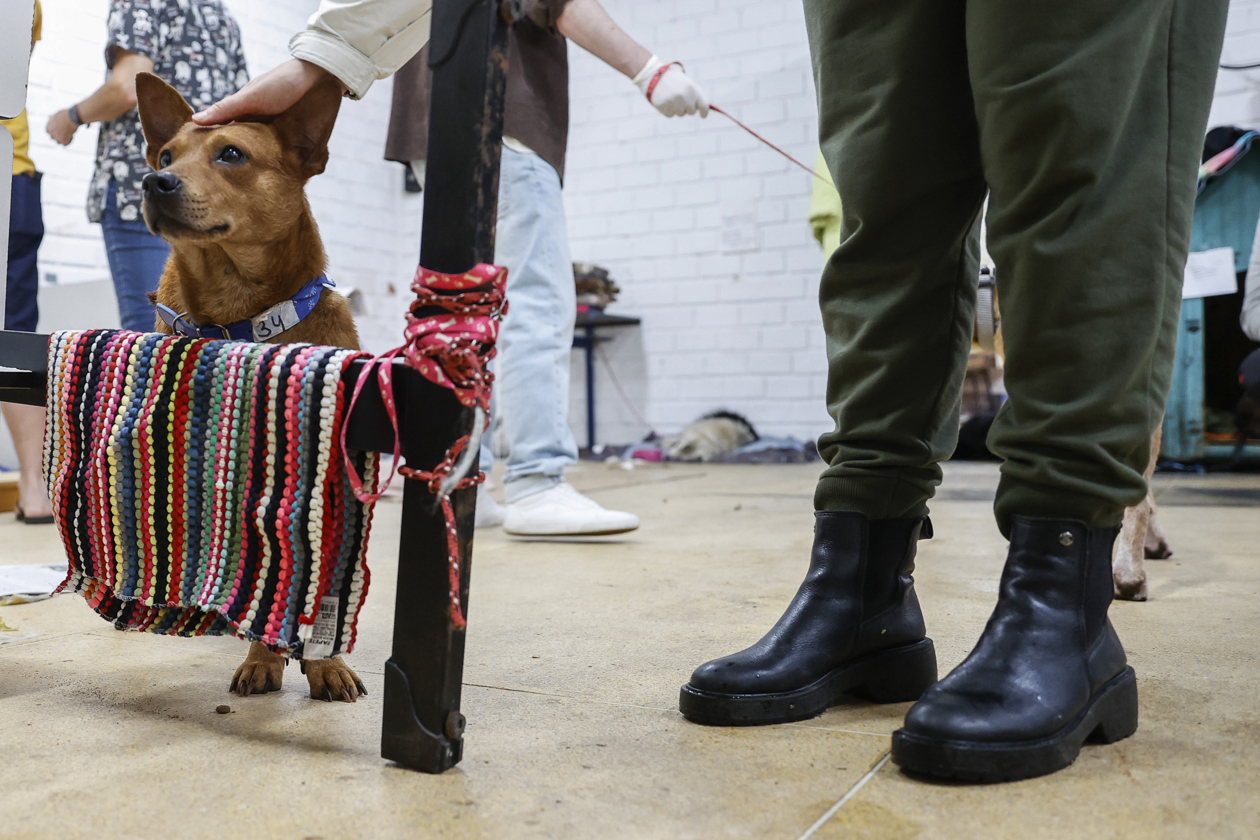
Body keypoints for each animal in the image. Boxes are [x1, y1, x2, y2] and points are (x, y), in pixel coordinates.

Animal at [135, 73, 367, 705]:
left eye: (232, 154)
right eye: (166, 156)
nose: (154, 181)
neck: (237, 312)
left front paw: (325, 664)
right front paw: (264, 656)